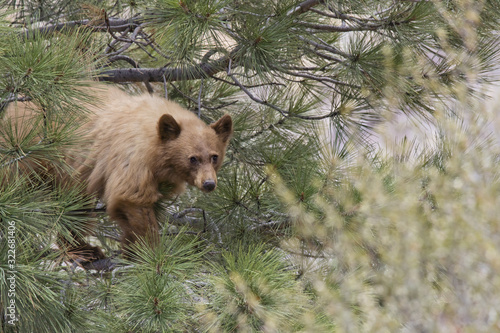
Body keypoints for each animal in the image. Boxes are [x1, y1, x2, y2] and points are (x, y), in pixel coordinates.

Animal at [1, 85, 233, 260]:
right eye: (193, 158)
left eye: (214, 156)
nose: (209, 184)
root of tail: (16, 104)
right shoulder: (133, 157)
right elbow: (132, 197)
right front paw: (152, 254)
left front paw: (131, 250)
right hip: (28, 148)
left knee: (74, 207)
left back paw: (83, 249)